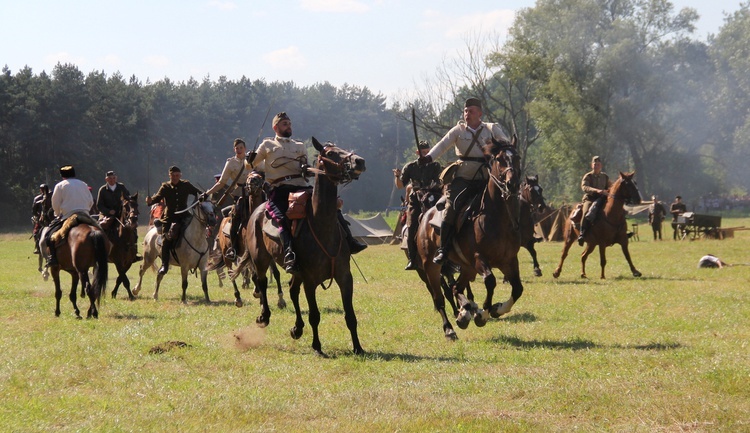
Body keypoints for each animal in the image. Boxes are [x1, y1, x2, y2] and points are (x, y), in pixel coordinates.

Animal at [212, 174, 288, 308]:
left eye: (258, 177)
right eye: (248, 177)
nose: (251, 182)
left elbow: (275, 273)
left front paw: (280, 299)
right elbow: (255, 275)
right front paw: (260, 296)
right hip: (228, 255)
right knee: (231, 273)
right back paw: (238, 297)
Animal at [232, 137, 368, 356]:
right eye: (330, 153)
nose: (359, 161)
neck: (322, 226)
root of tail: (256, 212)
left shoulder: (344, 277)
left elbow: (350, 315)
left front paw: (358, 347)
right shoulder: (310, 280)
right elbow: (315, 315)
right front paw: (317, 347)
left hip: (295, 272)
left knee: (292, 290)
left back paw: (297, 327)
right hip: (261, 259)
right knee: (261, 282)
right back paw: (264, 316)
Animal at [414, 137, 524, 340]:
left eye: (517, 157)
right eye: (499, 159)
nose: (512, 184)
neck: (498, 218)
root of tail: (425, 217)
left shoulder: (509, 260)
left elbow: (518, 288)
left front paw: (497, 309)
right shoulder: (479, 258)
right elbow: (490, 281)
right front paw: (483, 314)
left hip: (467, 268)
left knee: (456, 288)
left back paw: (464, 314)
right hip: (431, 266)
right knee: (440, 298)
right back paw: (450, 328)